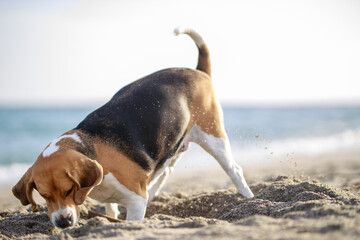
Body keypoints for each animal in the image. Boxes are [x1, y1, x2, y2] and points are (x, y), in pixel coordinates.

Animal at [12, 27, 255, 228]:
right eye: (44, 196)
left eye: (69, 190)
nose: (63, 223)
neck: (93, 149)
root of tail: (199, 72)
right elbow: (111, 209)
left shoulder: (136, 200)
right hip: (174, 144)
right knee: (166, 170)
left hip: (212, 136)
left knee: (234, 169)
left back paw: (249, 198)